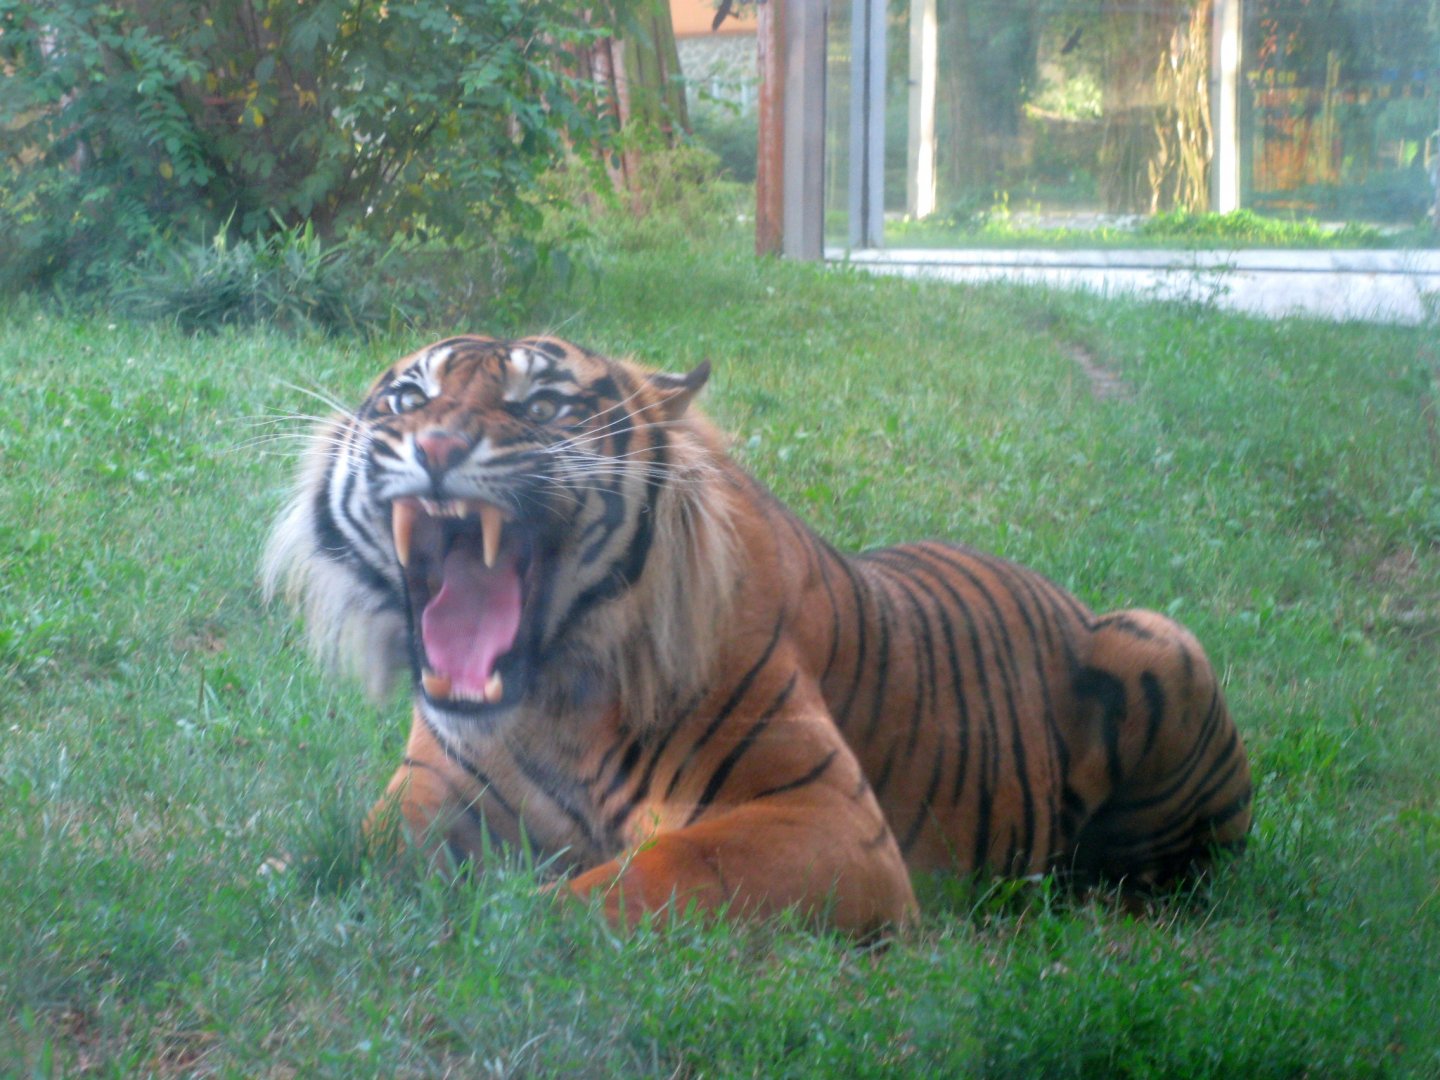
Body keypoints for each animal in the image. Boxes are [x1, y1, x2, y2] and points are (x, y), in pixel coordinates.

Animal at [263, 334, 1253, 935]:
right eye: (406, 397)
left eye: (542, 405)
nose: (435, 446)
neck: (545, 708)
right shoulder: (433, 796)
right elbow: (345, 852)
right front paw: (280, 879)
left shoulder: (826, 820)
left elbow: (639, 878)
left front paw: (503, 924)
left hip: (1160, 640)